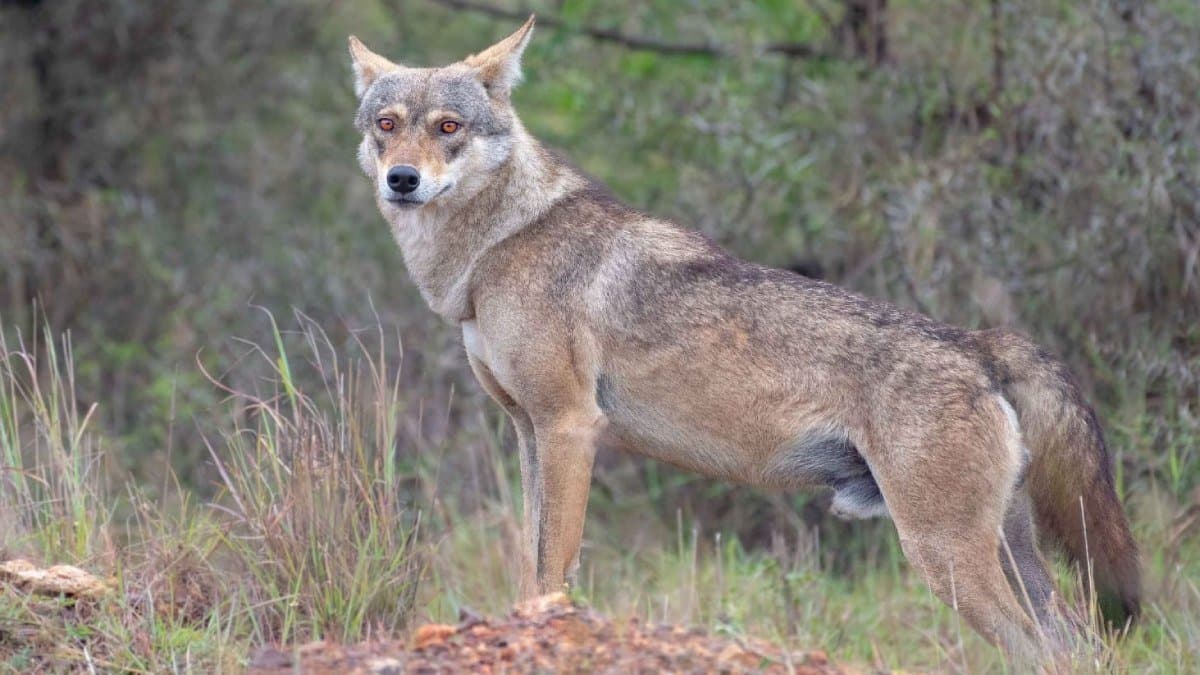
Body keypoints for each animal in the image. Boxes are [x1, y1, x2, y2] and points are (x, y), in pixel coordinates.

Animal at [348, 17, 1140, 662]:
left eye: (449, 127)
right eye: (387, 123)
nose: (402, 180)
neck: (492, 249)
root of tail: (979, 343)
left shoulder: (569, 426)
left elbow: (552, 569)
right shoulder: (526, 429)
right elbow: (531, 563)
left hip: (943, 556)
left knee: (1043, 645)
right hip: (1000, 553)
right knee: (1075, 642)